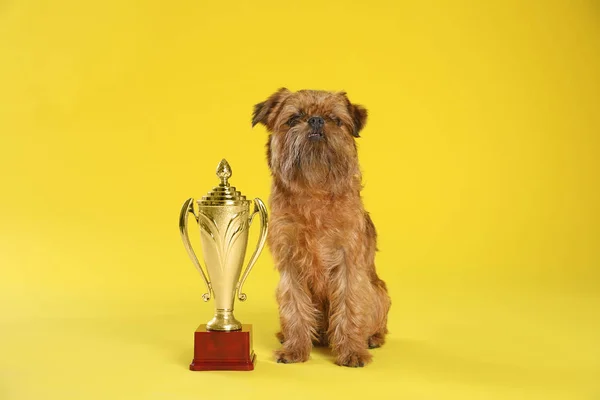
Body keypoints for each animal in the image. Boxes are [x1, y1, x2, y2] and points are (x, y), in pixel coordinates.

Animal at [251, 89, 392, 368]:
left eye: (335, 120)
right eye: (294, 118)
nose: (316, 120)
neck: (313, 191)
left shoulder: (349, 263)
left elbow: (350, 307)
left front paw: (352, 351)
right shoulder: (290, 265)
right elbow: (294, 307)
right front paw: (295, 349)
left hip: (380, 292)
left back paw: (372, 338)